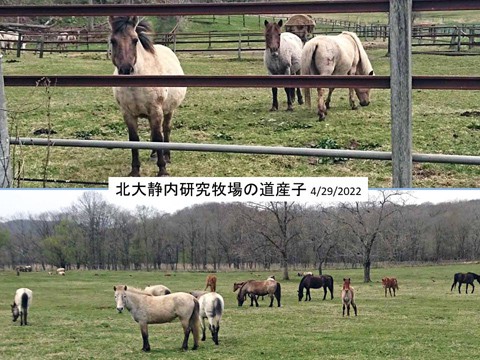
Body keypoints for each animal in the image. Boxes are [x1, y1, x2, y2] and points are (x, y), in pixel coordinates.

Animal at [109, 16, 187, 177]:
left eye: (135, 40)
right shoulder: (128, 114)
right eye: (113, 40)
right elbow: (134, 139)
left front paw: (162, 170)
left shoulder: (156, 111)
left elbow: (158, 137)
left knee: (165, 130)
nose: (125, 69)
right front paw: (134, 170)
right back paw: (153, 155)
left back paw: (166, 156)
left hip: (168, 110)